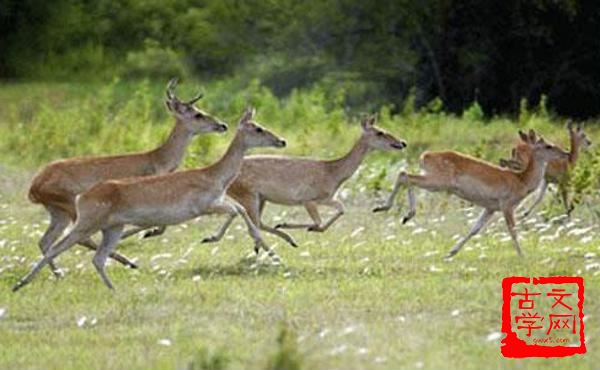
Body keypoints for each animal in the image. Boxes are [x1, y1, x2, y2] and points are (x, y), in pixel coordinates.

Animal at [12, 107, 286, 292]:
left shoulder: (216, 202)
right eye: (258, 128)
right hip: (85, 223)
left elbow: (239, 211)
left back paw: (114, 288)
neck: (214, 175)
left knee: (94, 257)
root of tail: (83, 196)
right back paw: (21, 283)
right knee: (57, 246)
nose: (281, 140)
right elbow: (238, 211)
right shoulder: (206, 205)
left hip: (109, 227)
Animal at [25, 78, 227, 274]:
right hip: (70, 204)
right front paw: (145, 234)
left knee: (46, 240)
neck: (158, 160)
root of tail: (34, 187)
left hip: (57, 211)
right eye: (197, 114)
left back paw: (58, 273)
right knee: (79, 238)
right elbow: (156, 224)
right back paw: (129, 262)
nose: (222, 125)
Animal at [198, 115, 408, 249]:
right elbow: (322, 219)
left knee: (257, 222)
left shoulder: (325, 197)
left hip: (260, 197)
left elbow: (340, 209)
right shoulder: (309, 198)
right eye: (380, 132)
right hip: (247, 193)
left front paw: (301, 227)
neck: (334, 173)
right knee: (252, 221)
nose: (402, 142)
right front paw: (301, 226)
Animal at [372, 130, 568, 260]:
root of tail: (424, 156)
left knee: (406, 176)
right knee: (404, 175)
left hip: (435, 180)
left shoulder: (491, 207)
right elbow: (513, 230)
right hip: (439, 181)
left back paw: (405, 215)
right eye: (548, 145)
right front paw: (522, 256)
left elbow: (475, 229)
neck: (522, 181)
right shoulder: (507, 204)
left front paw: (450, 253)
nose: (565, 152)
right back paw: (386, 208)